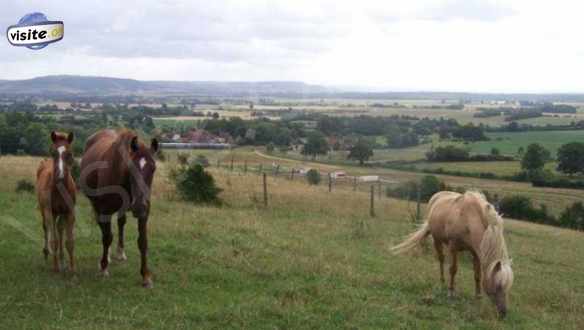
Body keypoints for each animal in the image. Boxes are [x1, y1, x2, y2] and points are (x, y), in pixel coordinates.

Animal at [36, 131, 76, 274]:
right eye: (53, 153)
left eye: (69, 153)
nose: (60, 176)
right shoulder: (50, 212)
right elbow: (54, 241)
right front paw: (55, 267)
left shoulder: (70, 212)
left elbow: (69, 242)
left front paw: (72, 269)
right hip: (44, 211)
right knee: (46, 228)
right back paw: (46, 253)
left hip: (61, 213)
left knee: (60, 228)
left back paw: (63, 260)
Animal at [80, 127, 159, 288]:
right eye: (131, 168)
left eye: (153, 168)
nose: (139, 205)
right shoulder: (105, 210)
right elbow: (107, 237)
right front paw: (103, 267)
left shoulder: (144, 213)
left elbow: (143, 241)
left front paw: (146, 276)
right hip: (97, 206)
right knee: (104, 230)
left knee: (120, 223)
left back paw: (120, 252)